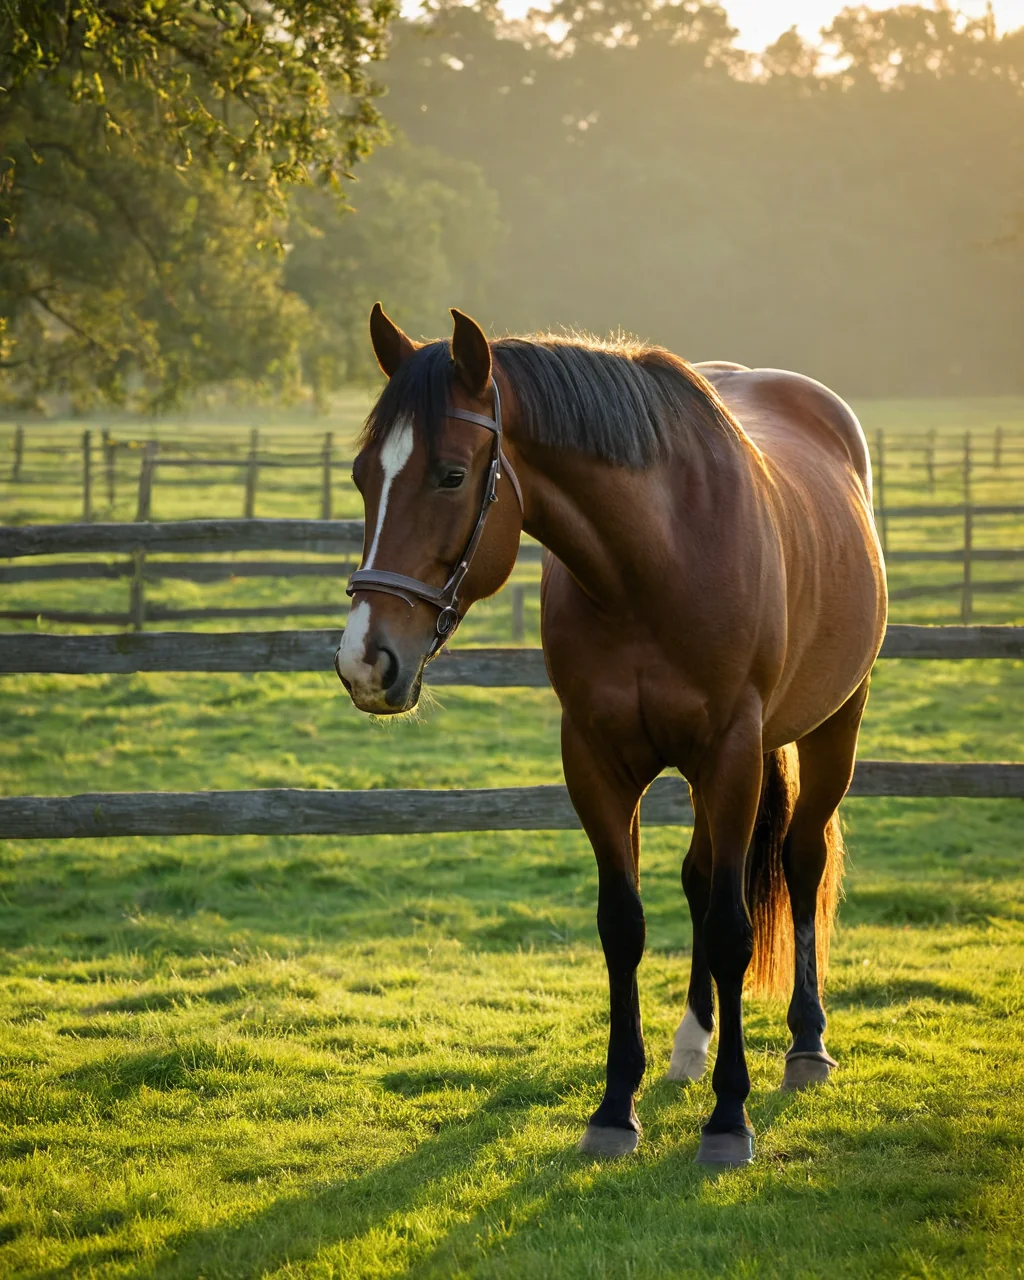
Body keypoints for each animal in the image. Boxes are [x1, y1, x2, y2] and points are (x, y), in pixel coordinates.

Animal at [335, 303, 887, 1166]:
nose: (364, 660)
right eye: (363, 476)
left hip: (834, 725)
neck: (653, 562)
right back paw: (691, 1045)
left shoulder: (731, 755)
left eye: (451, 475)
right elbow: (624, 926)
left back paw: (805, 1046)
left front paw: (730, 1119)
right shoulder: (596, 765)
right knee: (701, 877)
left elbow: (732, 928)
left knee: (799, 861)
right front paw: (615, 1107)